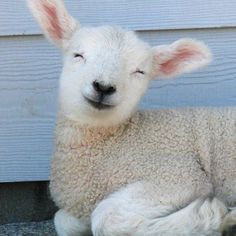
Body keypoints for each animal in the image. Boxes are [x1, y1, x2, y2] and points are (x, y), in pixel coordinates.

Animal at [26, 0, 236, 235]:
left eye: (139, 71)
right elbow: (62, 219)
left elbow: (105, 217)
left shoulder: (178, 175)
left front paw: (209, 218)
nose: (104, 87)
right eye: (78, 55)